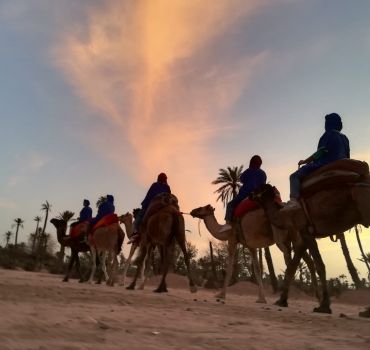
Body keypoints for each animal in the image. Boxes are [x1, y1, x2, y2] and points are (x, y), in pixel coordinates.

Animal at [253, 175, 370, 314]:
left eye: (258, 189)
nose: (250, 194)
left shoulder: (306, 231)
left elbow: (319, 265)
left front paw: (324, 306)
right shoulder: (302, 236)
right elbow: (292, 267)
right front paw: (281, 301)